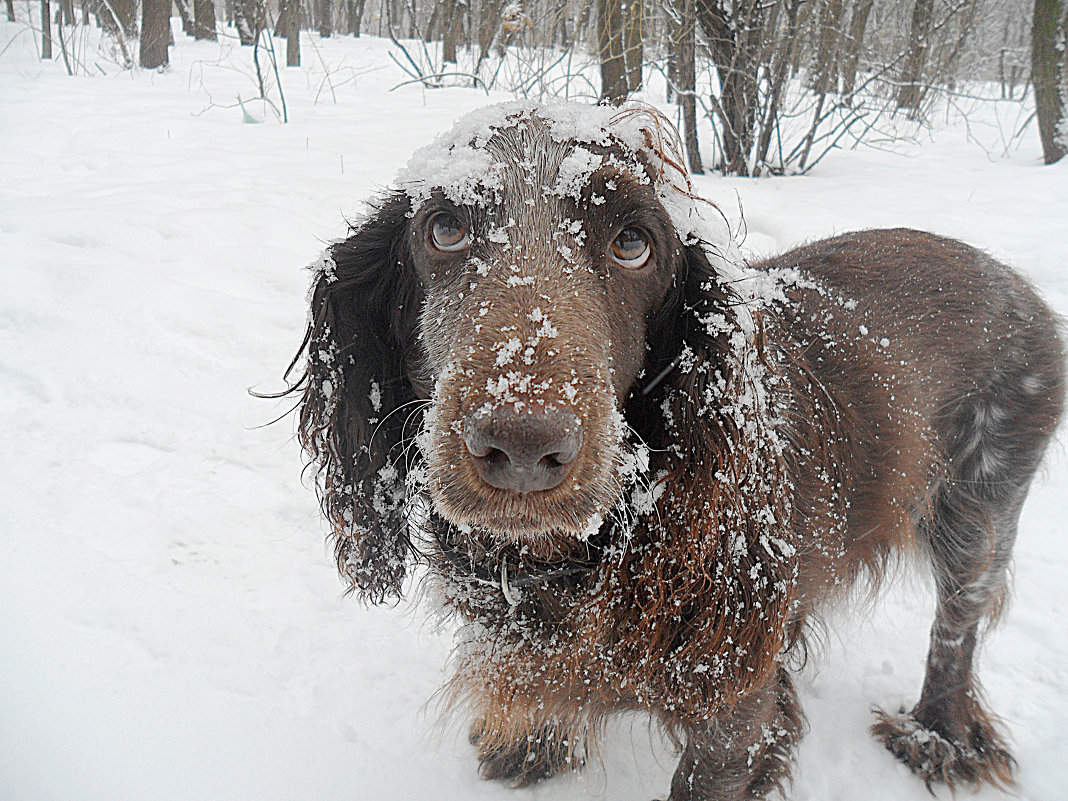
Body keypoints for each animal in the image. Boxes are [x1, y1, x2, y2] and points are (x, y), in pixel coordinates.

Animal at [286, 103, 1068, 798]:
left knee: (957, 625)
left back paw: (938, 735)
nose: (522, 443)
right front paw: (534, 743)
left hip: (981, 505)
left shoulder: (735, 710)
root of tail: (1017, 284)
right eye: (444, 227)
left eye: (634, 243)